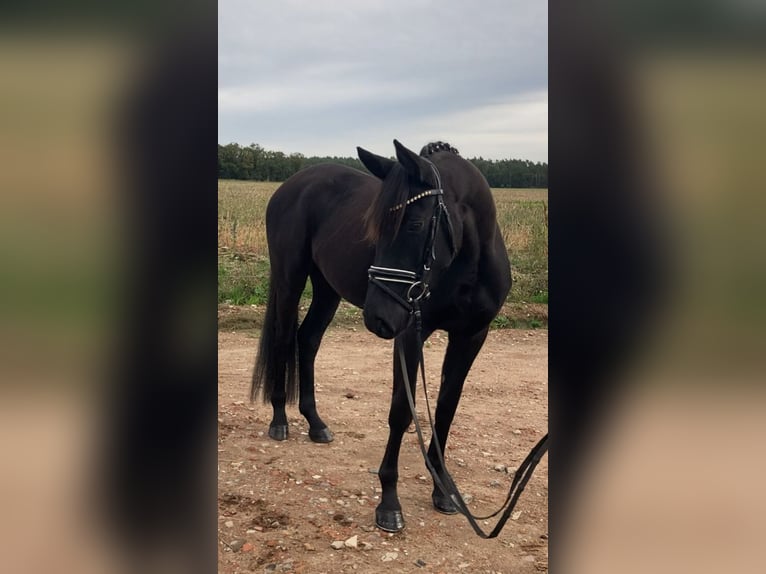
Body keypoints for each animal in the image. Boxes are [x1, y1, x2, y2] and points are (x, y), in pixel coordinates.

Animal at [252, 141, 512, 536]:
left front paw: (443, 490)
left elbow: (446, 409)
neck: (469, 262)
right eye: (375, 229)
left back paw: (315, 423)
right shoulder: (409, 335)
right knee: (284, 340)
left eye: (416, 225)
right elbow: (402, 412)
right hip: (289, 278)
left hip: (327, 287)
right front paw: (389, 502)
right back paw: (279, 420)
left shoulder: (470, 337)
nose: (378, 317)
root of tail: (291, 185)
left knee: (307, 340)